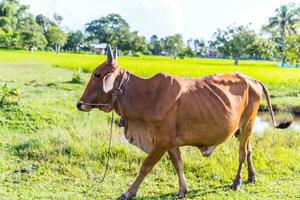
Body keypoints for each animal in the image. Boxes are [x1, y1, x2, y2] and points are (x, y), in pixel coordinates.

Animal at [76, 45, 292, 200]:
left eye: (97, 74)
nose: (79, 104)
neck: (146, 95)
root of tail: (252, 79)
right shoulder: (170, 142)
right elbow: (178, 164)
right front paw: (182, 190)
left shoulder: (161, 141)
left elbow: (145, 166)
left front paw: (128, 192)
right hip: (241, 129)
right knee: (248, 150)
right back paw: (251, 177)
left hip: (247, 124)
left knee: (241, 153)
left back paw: (237, 182)